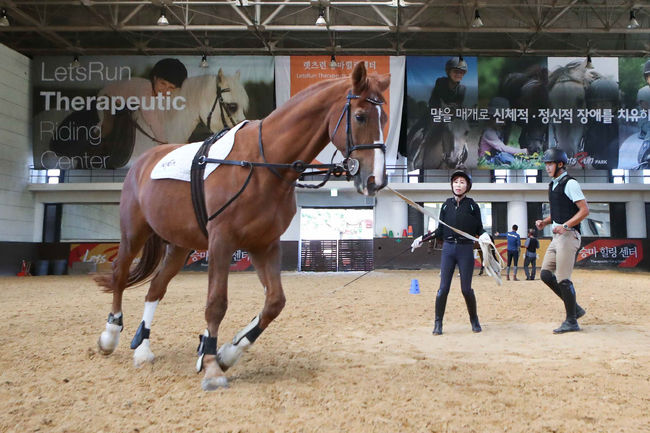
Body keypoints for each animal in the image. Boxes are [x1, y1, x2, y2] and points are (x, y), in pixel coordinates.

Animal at [95, 62, 388, 390]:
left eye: (385, 118)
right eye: (361, 116)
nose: (376, 180)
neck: (262, 162)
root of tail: (143, 160)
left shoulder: (264, 244)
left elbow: (275, 302)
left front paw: (227, 353)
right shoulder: (222, 242)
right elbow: (216, 303)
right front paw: (211, 365)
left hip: (180, 246)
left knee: (155, 288)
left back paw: (143, 349)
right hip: (134, 233)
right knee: (120, 275)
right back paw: (110, 336)